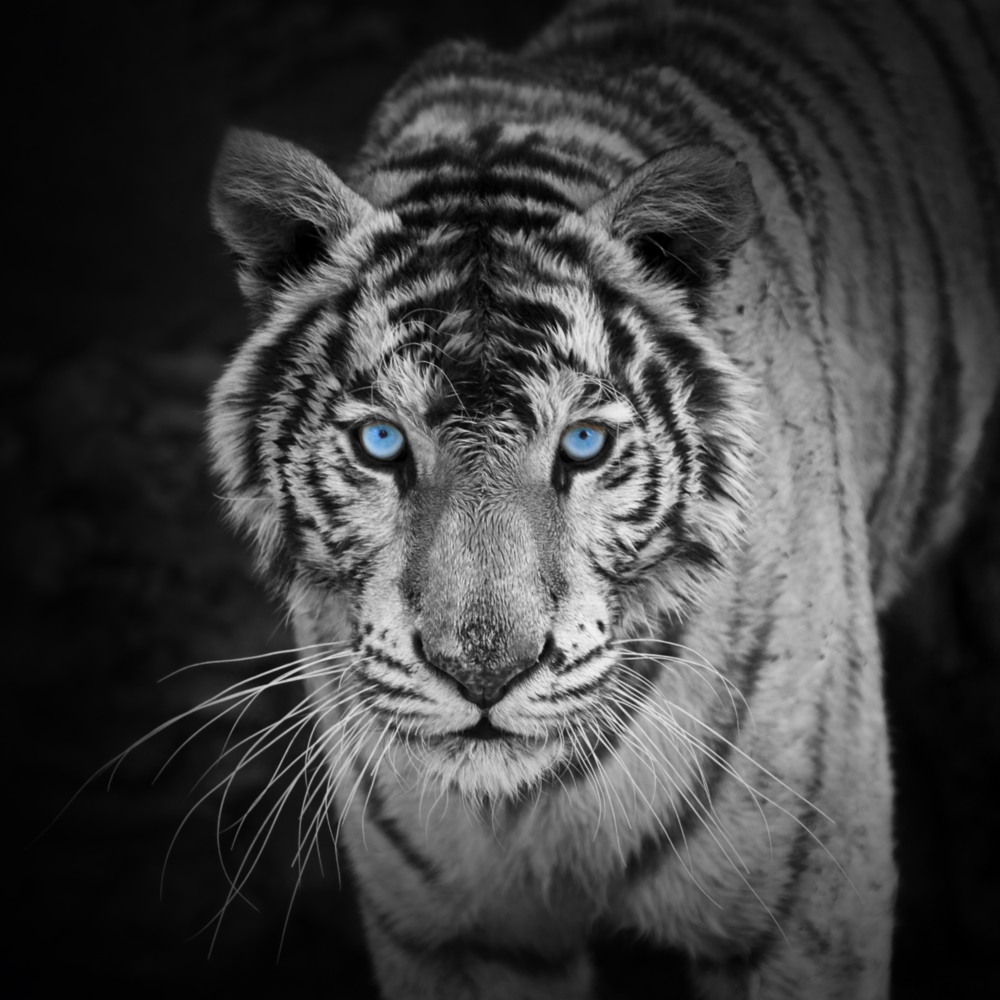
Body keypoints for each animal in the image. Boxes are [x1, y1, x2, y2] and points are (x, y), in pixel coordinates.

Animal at [205, 0, 1000, 997]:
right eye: (381, 442)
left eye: (582, 445)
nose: (484, 673)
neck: (534, 806)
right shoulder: (455, 934)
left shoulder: (803, 913)